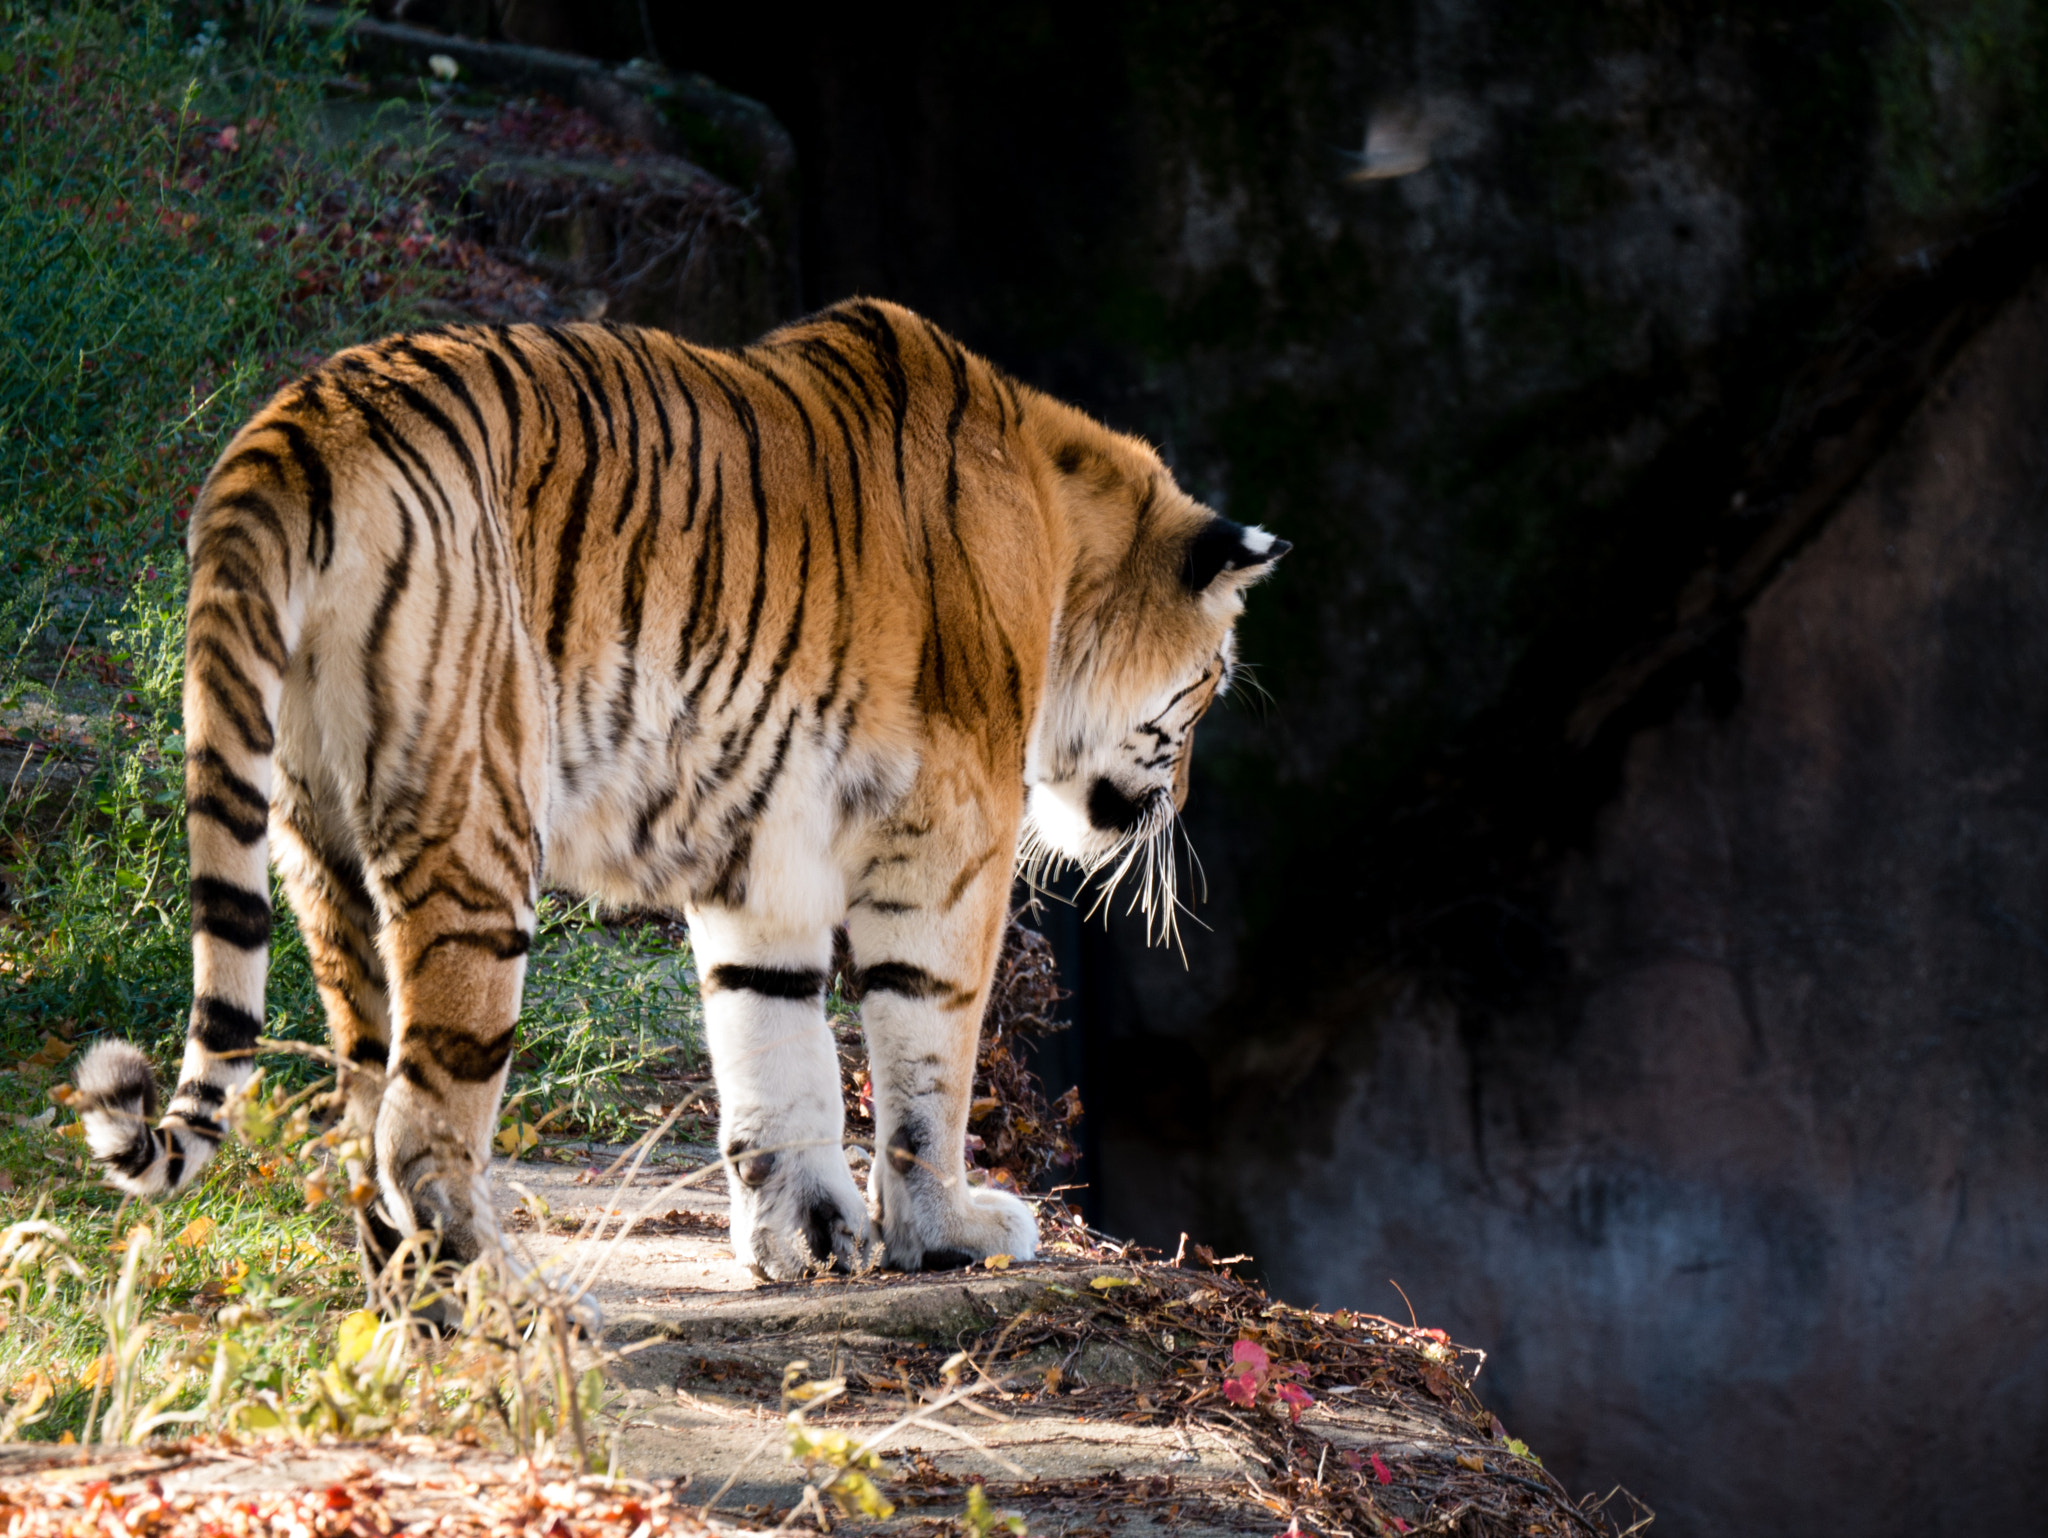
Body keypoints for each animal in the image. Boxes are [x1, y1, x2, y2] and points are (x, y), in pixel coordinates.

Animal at [72, 298, 1288, 1286]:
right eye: (1212, 686)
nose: (1176, 801)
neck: (1059, 522)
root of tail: (293, 429)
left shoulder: (767, 858)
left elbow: (772, 1044)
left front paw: (806, 1238)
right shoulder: (949, 838)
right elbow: (926, 1053)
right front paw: (946, 1230)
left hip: (315, 838)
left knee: (361, 1108)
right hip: (476, 833)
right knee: (419, 1125)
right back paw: (504, 1302)